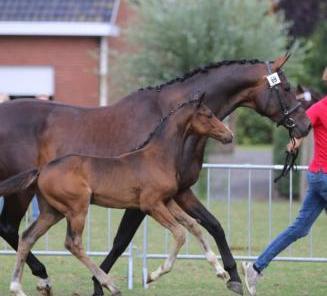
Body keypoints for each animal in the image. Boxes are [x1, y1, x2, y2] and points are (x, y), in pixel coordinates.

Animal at [5, 96, 233, 294]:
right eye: (208, 115)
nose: (229, 135)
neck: (158, 157)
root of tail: (42, 169)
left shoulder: (167, 201)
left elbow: (194, 226)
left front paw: (221, 272)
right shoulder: (151, 205)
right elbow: (179, 233)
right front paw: (153, 275)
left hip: (52, 211)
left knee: (27, 237)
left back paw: (18, 288)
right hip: (77, 208)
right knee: (73, 243)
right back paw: (110, 285)